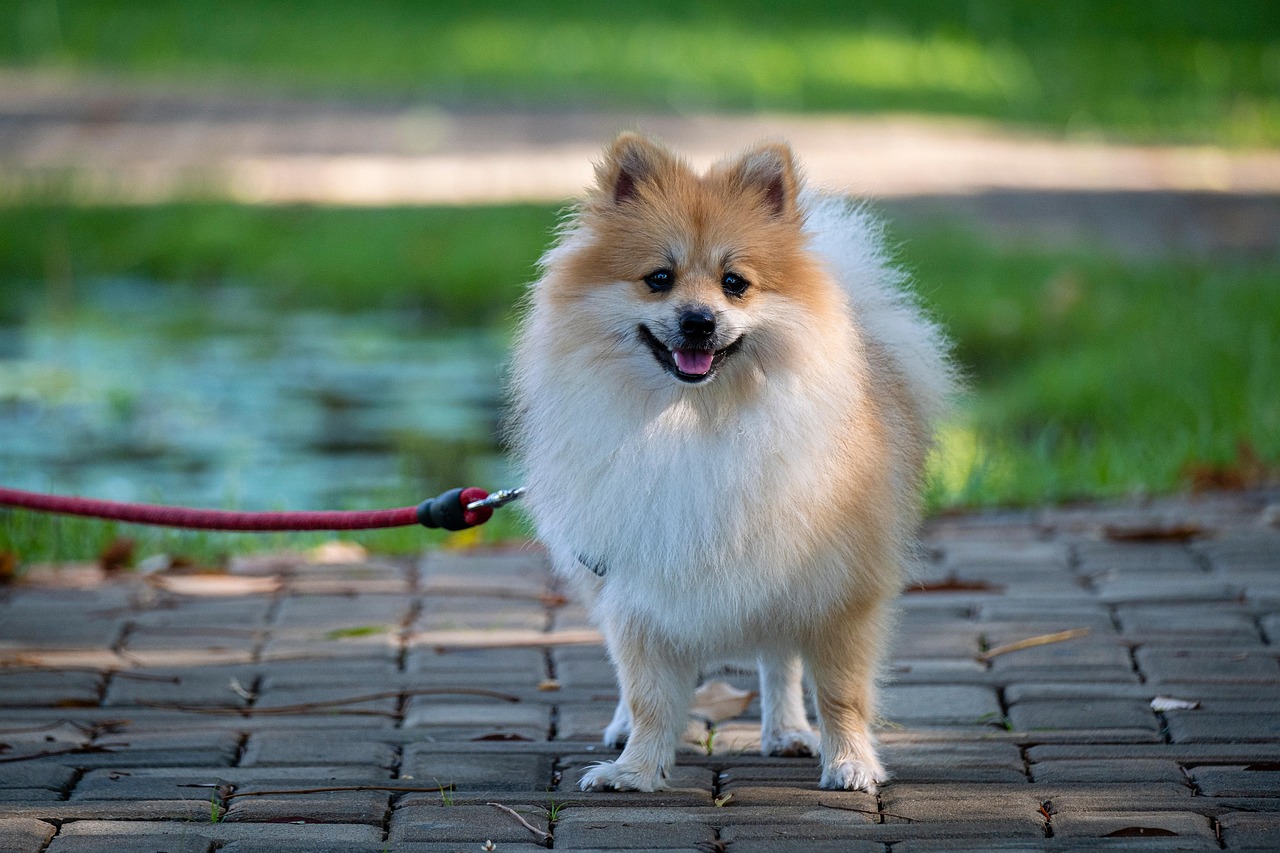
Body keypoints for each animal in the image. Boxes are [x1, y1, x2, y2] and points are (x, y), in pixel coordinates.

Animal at [509, 133, 952, 788]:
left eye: (735, 283)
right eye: (659, 279)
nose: (699, 320)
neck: (696, 419)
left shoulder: (840, 582)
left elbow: (841, 691)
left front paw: (850, 761)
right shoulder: (637, 580)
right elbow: (647, 692)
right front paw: (635, 768)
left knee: (779, 660)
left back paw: (788, 731)